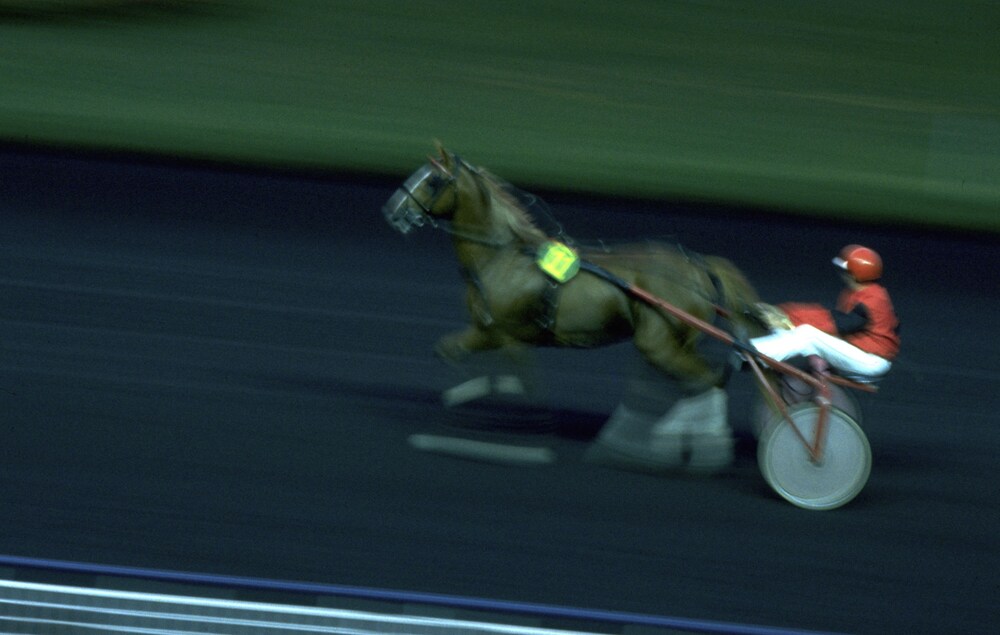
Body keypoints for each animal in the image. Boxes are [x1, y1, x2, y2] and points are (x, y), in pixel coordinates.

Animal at [384, 145, 764, 472]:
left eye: (433, 180)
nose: (392, 209)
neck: (502, 257)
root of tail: (701, 267)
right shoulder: (493, 334)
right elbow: (459, 359)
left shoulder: (500, 333)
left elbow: (501, 374)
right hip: (669, 342)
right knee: (700, 381)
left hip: (661, 343)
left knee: (708, 380)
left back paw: (700, 448)